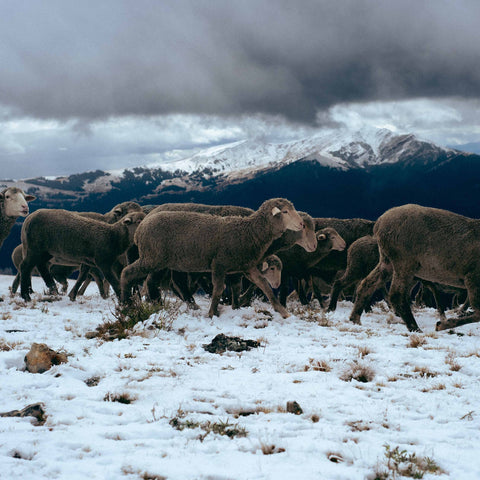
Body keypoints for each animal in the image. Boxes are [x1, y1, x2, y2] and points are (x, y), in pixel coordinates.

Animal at [121, 197, 304, 316]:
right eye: (285, 211)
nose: (302, 224)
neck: (249, 231)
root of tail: (140, 229)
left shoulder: (246, 266)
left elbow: (264, 285)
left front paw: (282, 311)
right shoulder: (219, 264)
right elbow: (218, 290)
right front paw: (211, 313)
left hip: (159, 261)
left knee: (150, 281)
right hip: (151, 257)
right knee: (127, 273)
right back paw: (126, 305)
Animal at [348, 204, 480, 332]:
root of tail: (378, 225)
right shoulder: (472, 276)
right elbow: (478, 312)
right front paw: (442, 324)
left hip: (387, 260)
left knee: (367, 284)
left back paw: (355, 319)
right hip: (404, 261)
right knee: (396, 295)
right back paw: (415, 327)